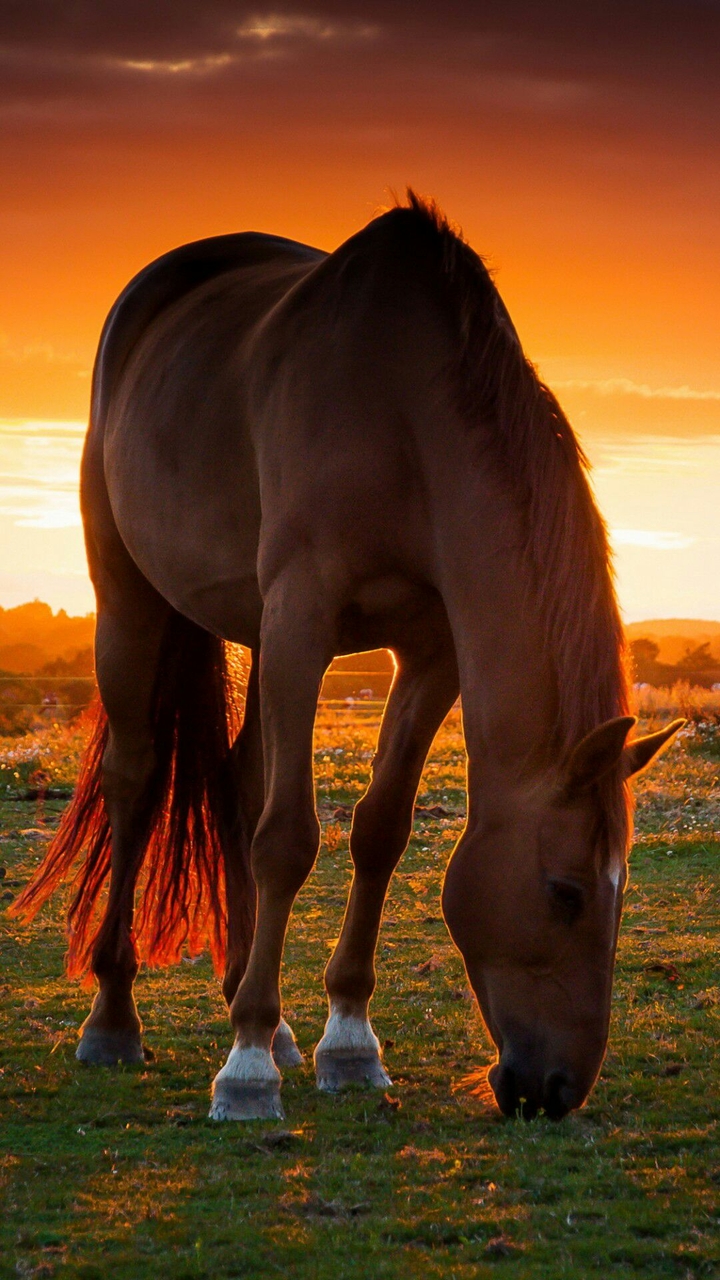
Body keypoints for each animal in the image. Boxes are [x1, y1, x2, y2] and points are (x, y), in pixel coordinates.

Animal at [12, 193, 682, 1122]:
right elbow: (288, 837)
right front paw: (247, 1069)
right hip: (132, 599)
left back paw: (265, 1011)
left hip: (254, 631)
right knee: (137, 781)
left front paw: (347, 1042)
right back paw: (116, 1021)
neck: (405, 417)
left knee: (239, 781)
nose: (556, 1089)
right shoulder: (304, 616)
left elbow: (379, 829)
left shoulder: (430, 651)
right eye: (566, 893)